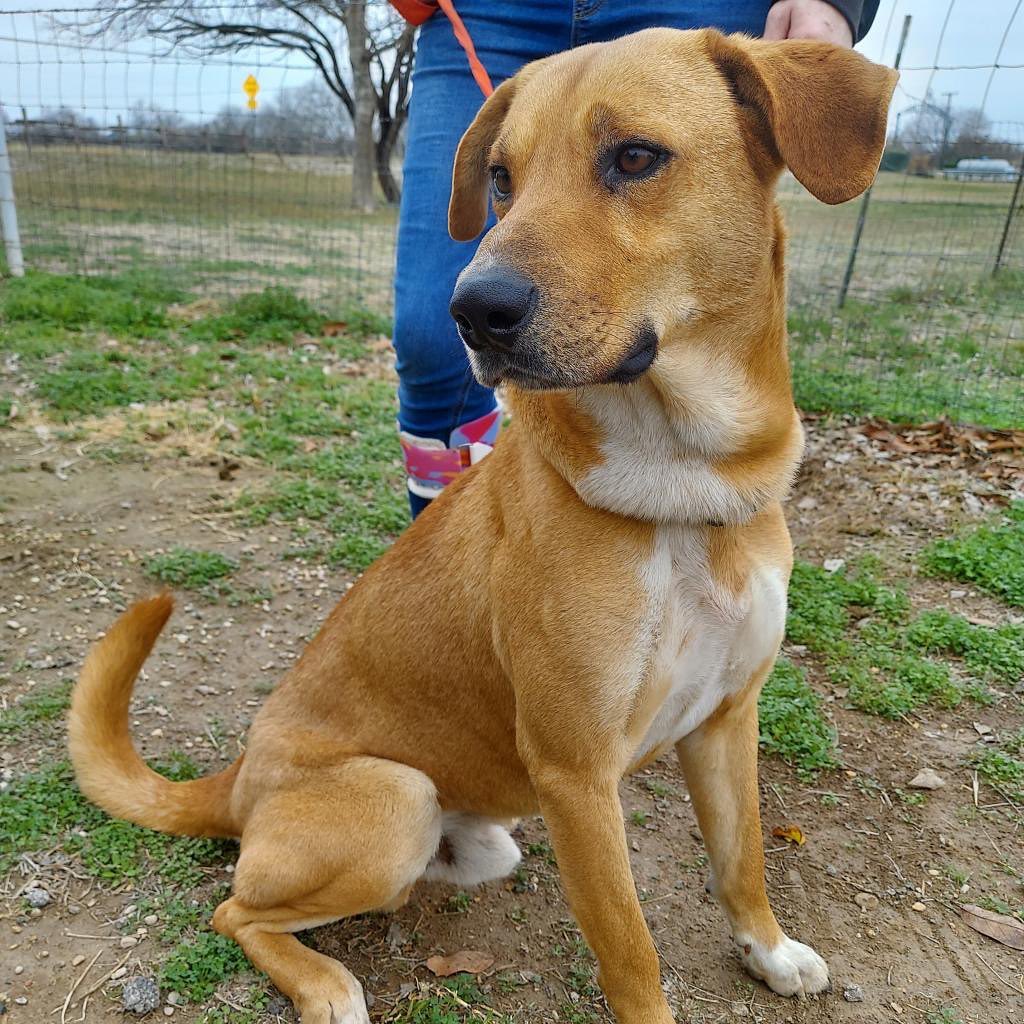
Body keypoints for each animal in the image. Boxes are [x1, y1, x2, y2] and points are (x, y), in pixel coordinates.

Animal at [70, 32, 897, 1024]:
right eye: (501, 177)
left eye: (635, 157)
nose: (474, 310)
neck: (684, 492)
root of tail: (237, 781)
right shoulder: (578, 776)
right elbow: (632, 950)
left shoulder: (728, 721)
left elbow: (745, 865)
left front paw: (767, 951)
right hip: (396, 799)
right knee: (234, 909)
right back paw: (326, 987)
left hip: (478, 824)